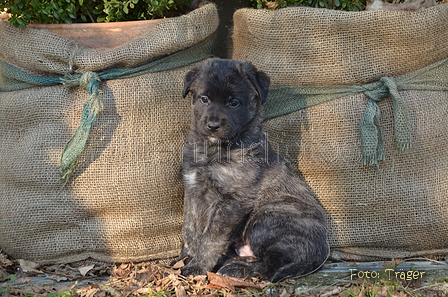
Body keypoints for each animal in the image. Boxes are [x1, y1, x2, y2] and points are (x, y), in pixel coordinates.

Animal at [172, 58, 328, 282]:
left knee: (272, 264)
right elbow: (190, 229)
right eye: (204, 99)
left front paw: (197, 266)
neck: (213, 151)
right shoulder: (193, 190)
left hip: (269, 216)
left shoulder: (232, 202)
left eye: (234, 103)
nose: (213, 125)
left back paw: (237, 268)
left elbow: (211, 238)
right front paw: (185, 258)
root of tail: (321, 252)